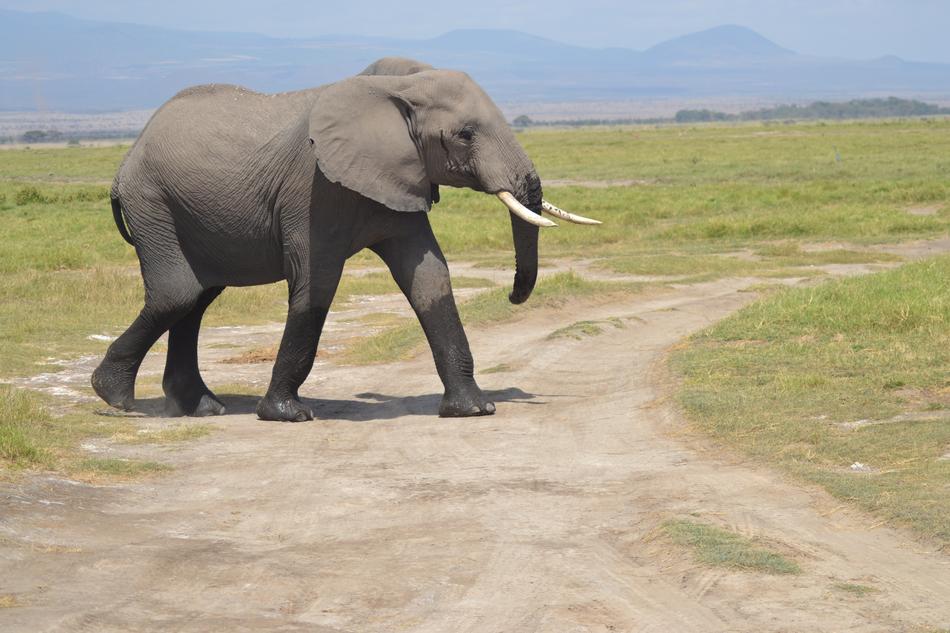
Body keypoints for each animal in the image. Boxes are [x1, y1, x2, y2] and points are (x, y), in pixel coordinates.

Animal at [91, 57, 600, 422]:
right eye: (465, 134)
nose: (514, 296)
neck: (398, 86)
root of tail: (126, 160)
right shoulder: (312, 188)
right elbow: (315, 283)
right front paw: (287, 415)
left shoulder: (399, 178)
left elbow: (430, 278)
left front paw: (474, 410)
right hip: (154, 204)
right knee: (178, 295)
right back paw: (116, 399)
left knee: (197, 298)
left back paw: (200, 408)